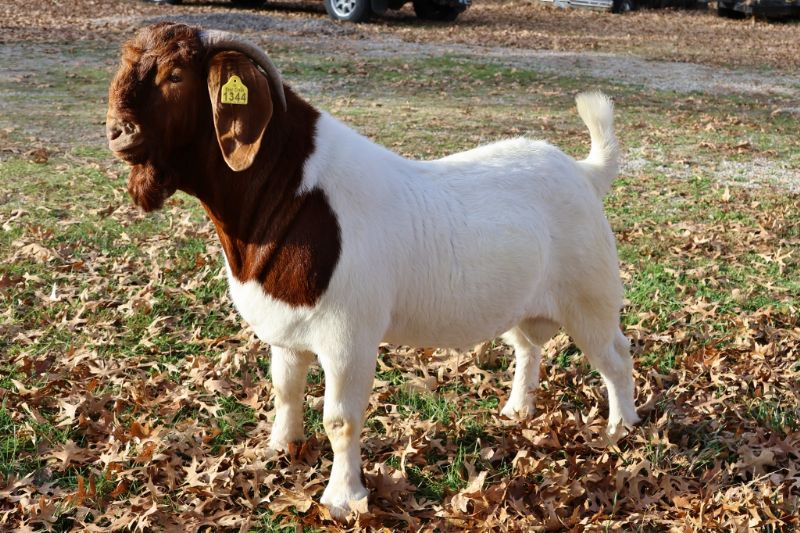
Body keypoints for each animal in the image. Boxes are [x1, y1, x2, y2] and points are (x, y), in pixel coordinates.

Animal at [107, 22, 640, 519]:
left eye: (176, 75)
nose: (116, 131)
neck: (291, 194)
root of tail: (584, 173)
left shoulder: (349, 337)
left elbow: (340, 420)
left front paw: (343, 498)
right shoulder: (287, 332)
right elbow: (285, 391)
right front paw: (280, 448)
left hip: (590, 295)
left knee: (615, 356)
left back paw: (621, 427)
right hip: (527, 303)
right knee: (529, 347)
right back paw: (517, 410)